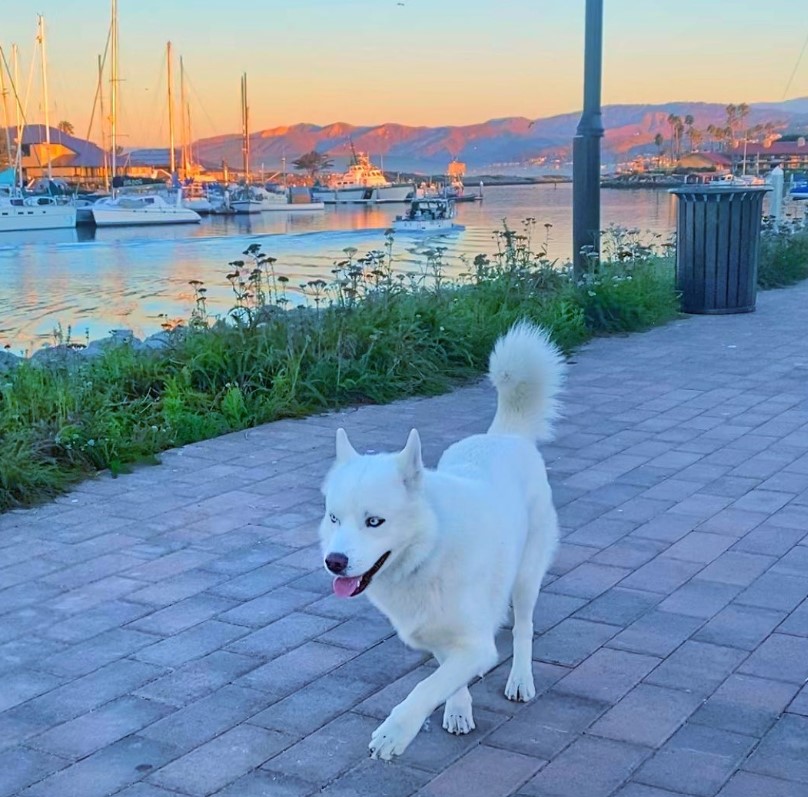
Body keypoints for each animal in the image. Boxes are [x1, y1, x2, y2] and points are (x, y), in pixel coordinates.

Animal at [318, 320, 564, 756]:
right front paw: (458, 708)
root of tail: (506, 436)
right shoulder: (432, 631)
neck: (428, 554)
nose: (335, 562)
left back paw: (521, 678)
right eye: (334, 518)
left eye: (375, 521)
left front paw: (396, 732)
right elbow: (444, 674)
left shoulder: (478, 644)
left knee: (524, 627)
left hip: (527, 576)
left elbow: (426, 686)